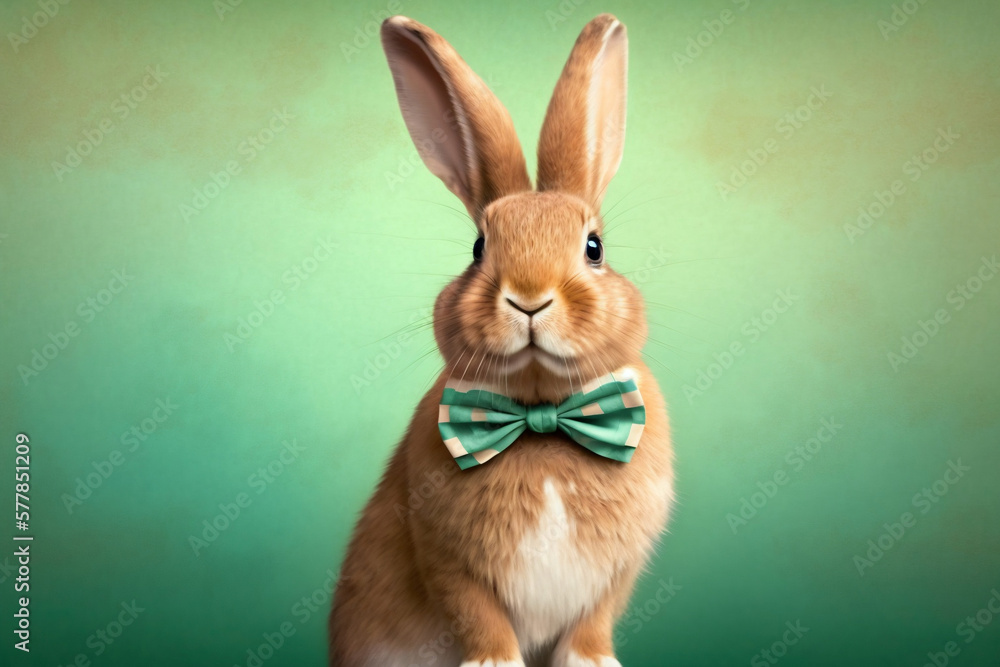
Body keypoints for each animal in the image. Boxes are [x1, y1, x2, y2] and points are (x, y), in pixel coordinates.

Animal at [329, 13, 674, 667]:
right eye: (477, 248)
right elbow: (479, 618)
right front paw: (494, 662)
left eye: (594, 248)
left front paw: (595, 661)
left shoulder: (614, 577)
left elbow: (591, 626)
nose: (529, 298)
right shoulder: (446, 559)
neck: (543, 418)